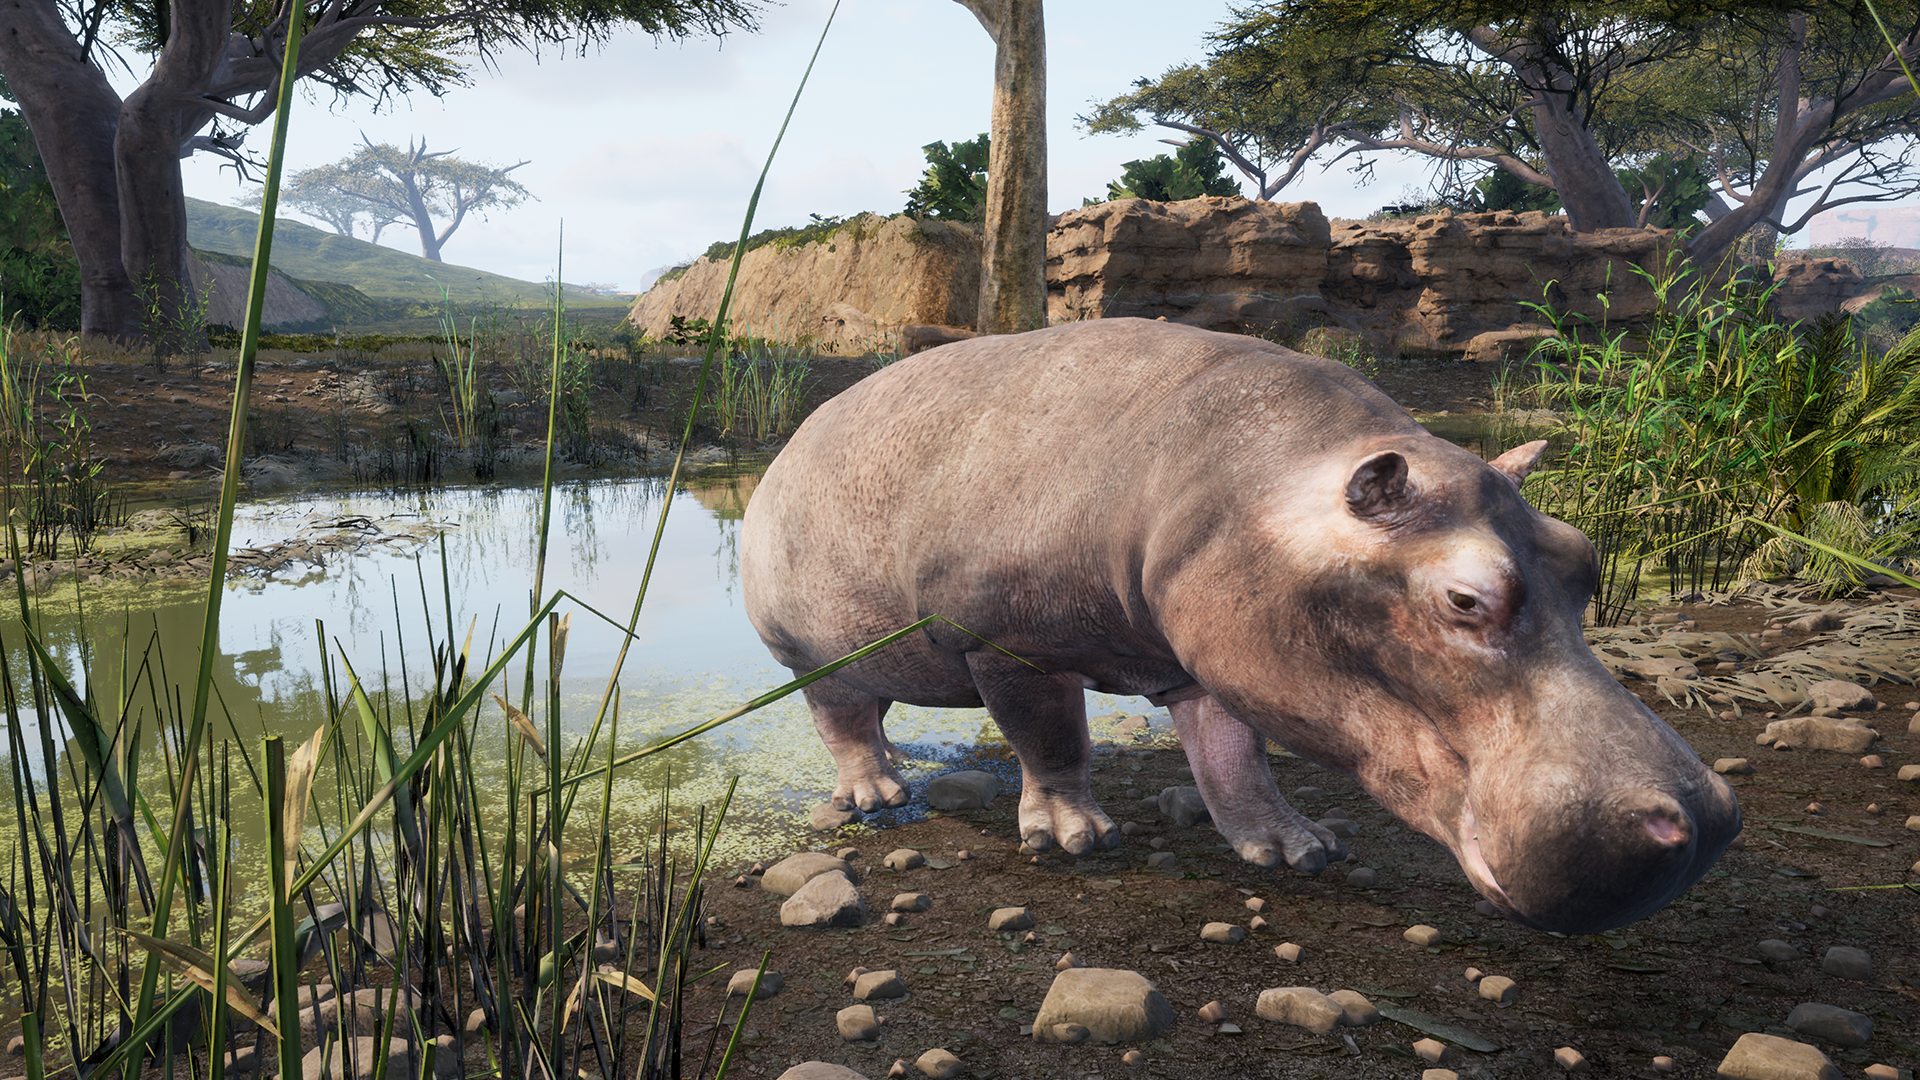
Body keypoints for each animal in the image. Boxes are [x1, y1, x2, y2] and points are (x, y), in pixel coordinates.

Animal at [741, 319, 1740, 934]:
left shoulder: (1210, 653)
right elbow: (1052, 740)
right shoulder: (1010, 643)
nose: (1700, 817)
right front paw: (1075, 838)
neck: (1237, 479)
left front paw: (1300, 849)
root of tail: (792, 439)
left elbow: (1236, 759)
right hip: (803, 650)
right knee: (841, 719)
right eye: (1464, 599)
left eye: (1584, 556)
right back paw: (879, 796)